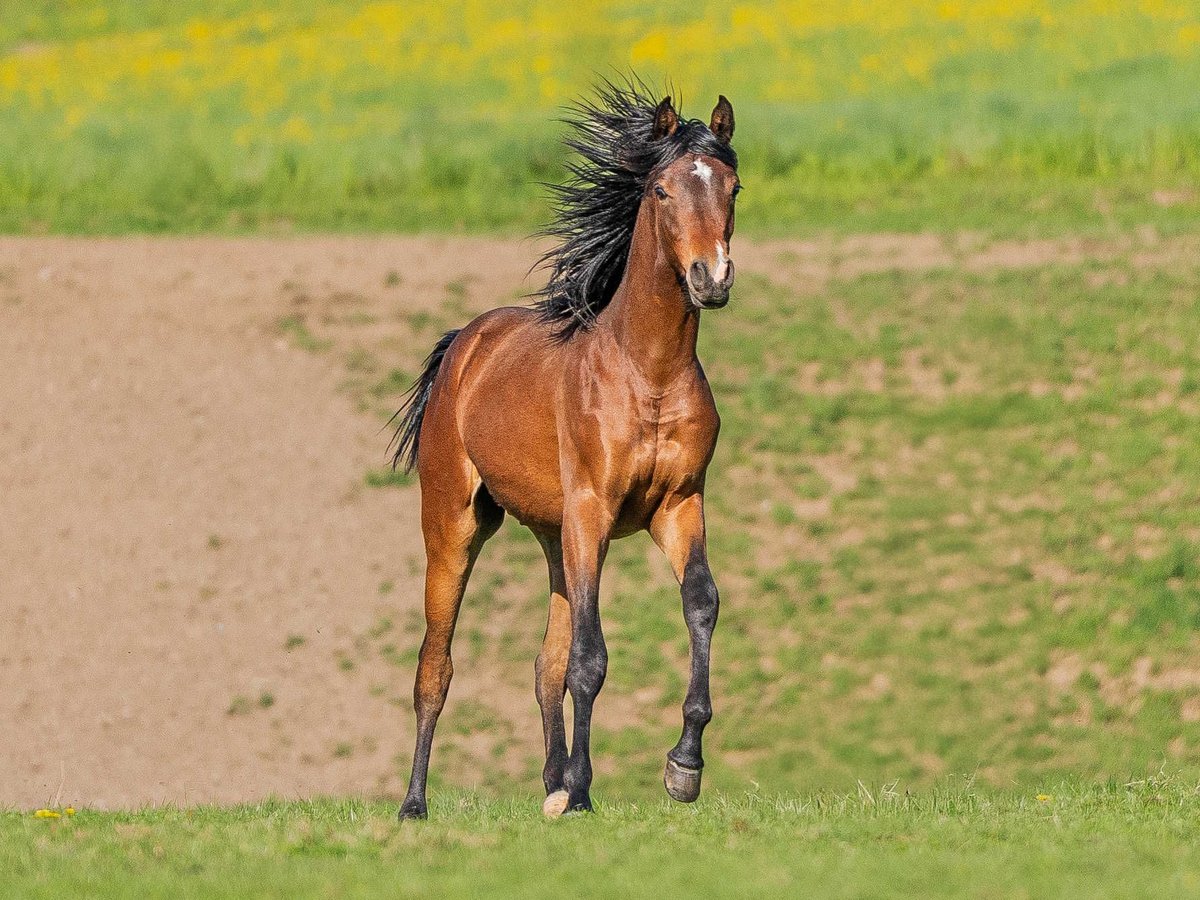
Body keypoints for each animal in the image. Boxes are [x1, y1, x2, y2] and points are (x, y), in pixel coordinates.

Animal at [390, 81, 740, 819]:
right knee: (437, 664)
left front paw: (683, 766)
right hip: (457, 524)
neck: (647, 373)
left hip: (556, 536)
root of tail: (466, 341)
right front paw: (581, 792)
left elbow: (700, 602)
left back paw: (550, 782)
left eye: (733, 185)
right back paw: (415, 803)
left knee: (543, 664)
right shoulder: (593, 510)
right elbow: (591, 657)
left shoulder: (679, 505)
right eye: (662, 189)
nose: (711, 277)